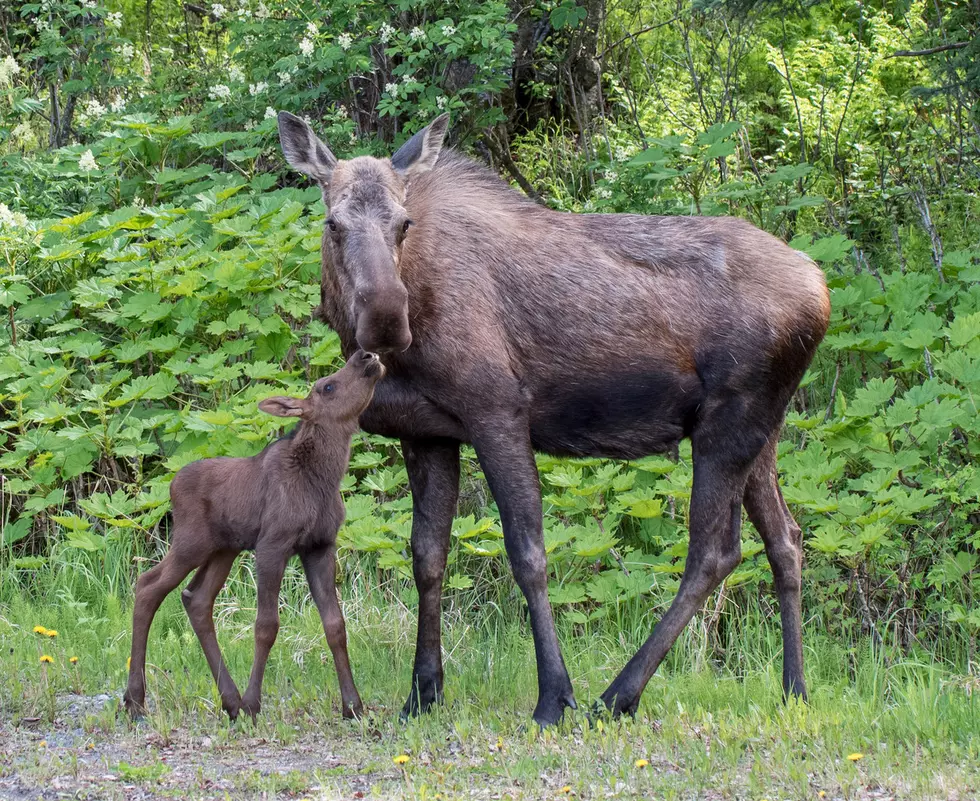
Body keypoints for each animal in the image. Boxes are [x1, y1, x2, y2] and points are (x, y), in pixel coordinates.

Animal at [122, 350, 382, 720]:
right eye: (327, 386)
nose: (365, 355)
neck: (323, 479)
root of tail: (170, 486)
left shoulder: (320, 545)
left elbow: (335, 624)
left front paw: (353, 705)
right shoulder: (272, 544)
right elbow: (266, 625)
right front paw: (254, 702)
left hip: (223, 549)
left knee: (196, 599)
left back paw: (229, 701)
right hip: (191, 543)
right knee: (147, 585)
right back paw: (136, 699)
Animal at [276, 109, 828, 720]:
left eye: (403, 223)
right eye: (333, 223)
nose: (386, 319)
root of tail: (821, 284)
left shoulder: (497, 411)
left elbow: (528, 553)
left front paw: (553, 697)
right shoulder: (428, 434)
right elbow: (427, 557)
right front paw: (422, 693)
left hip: (729, 423)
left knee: (714, 550)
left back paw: (617, 694)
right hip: (762, 429)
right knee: (786, 539)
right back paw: (795, 689)